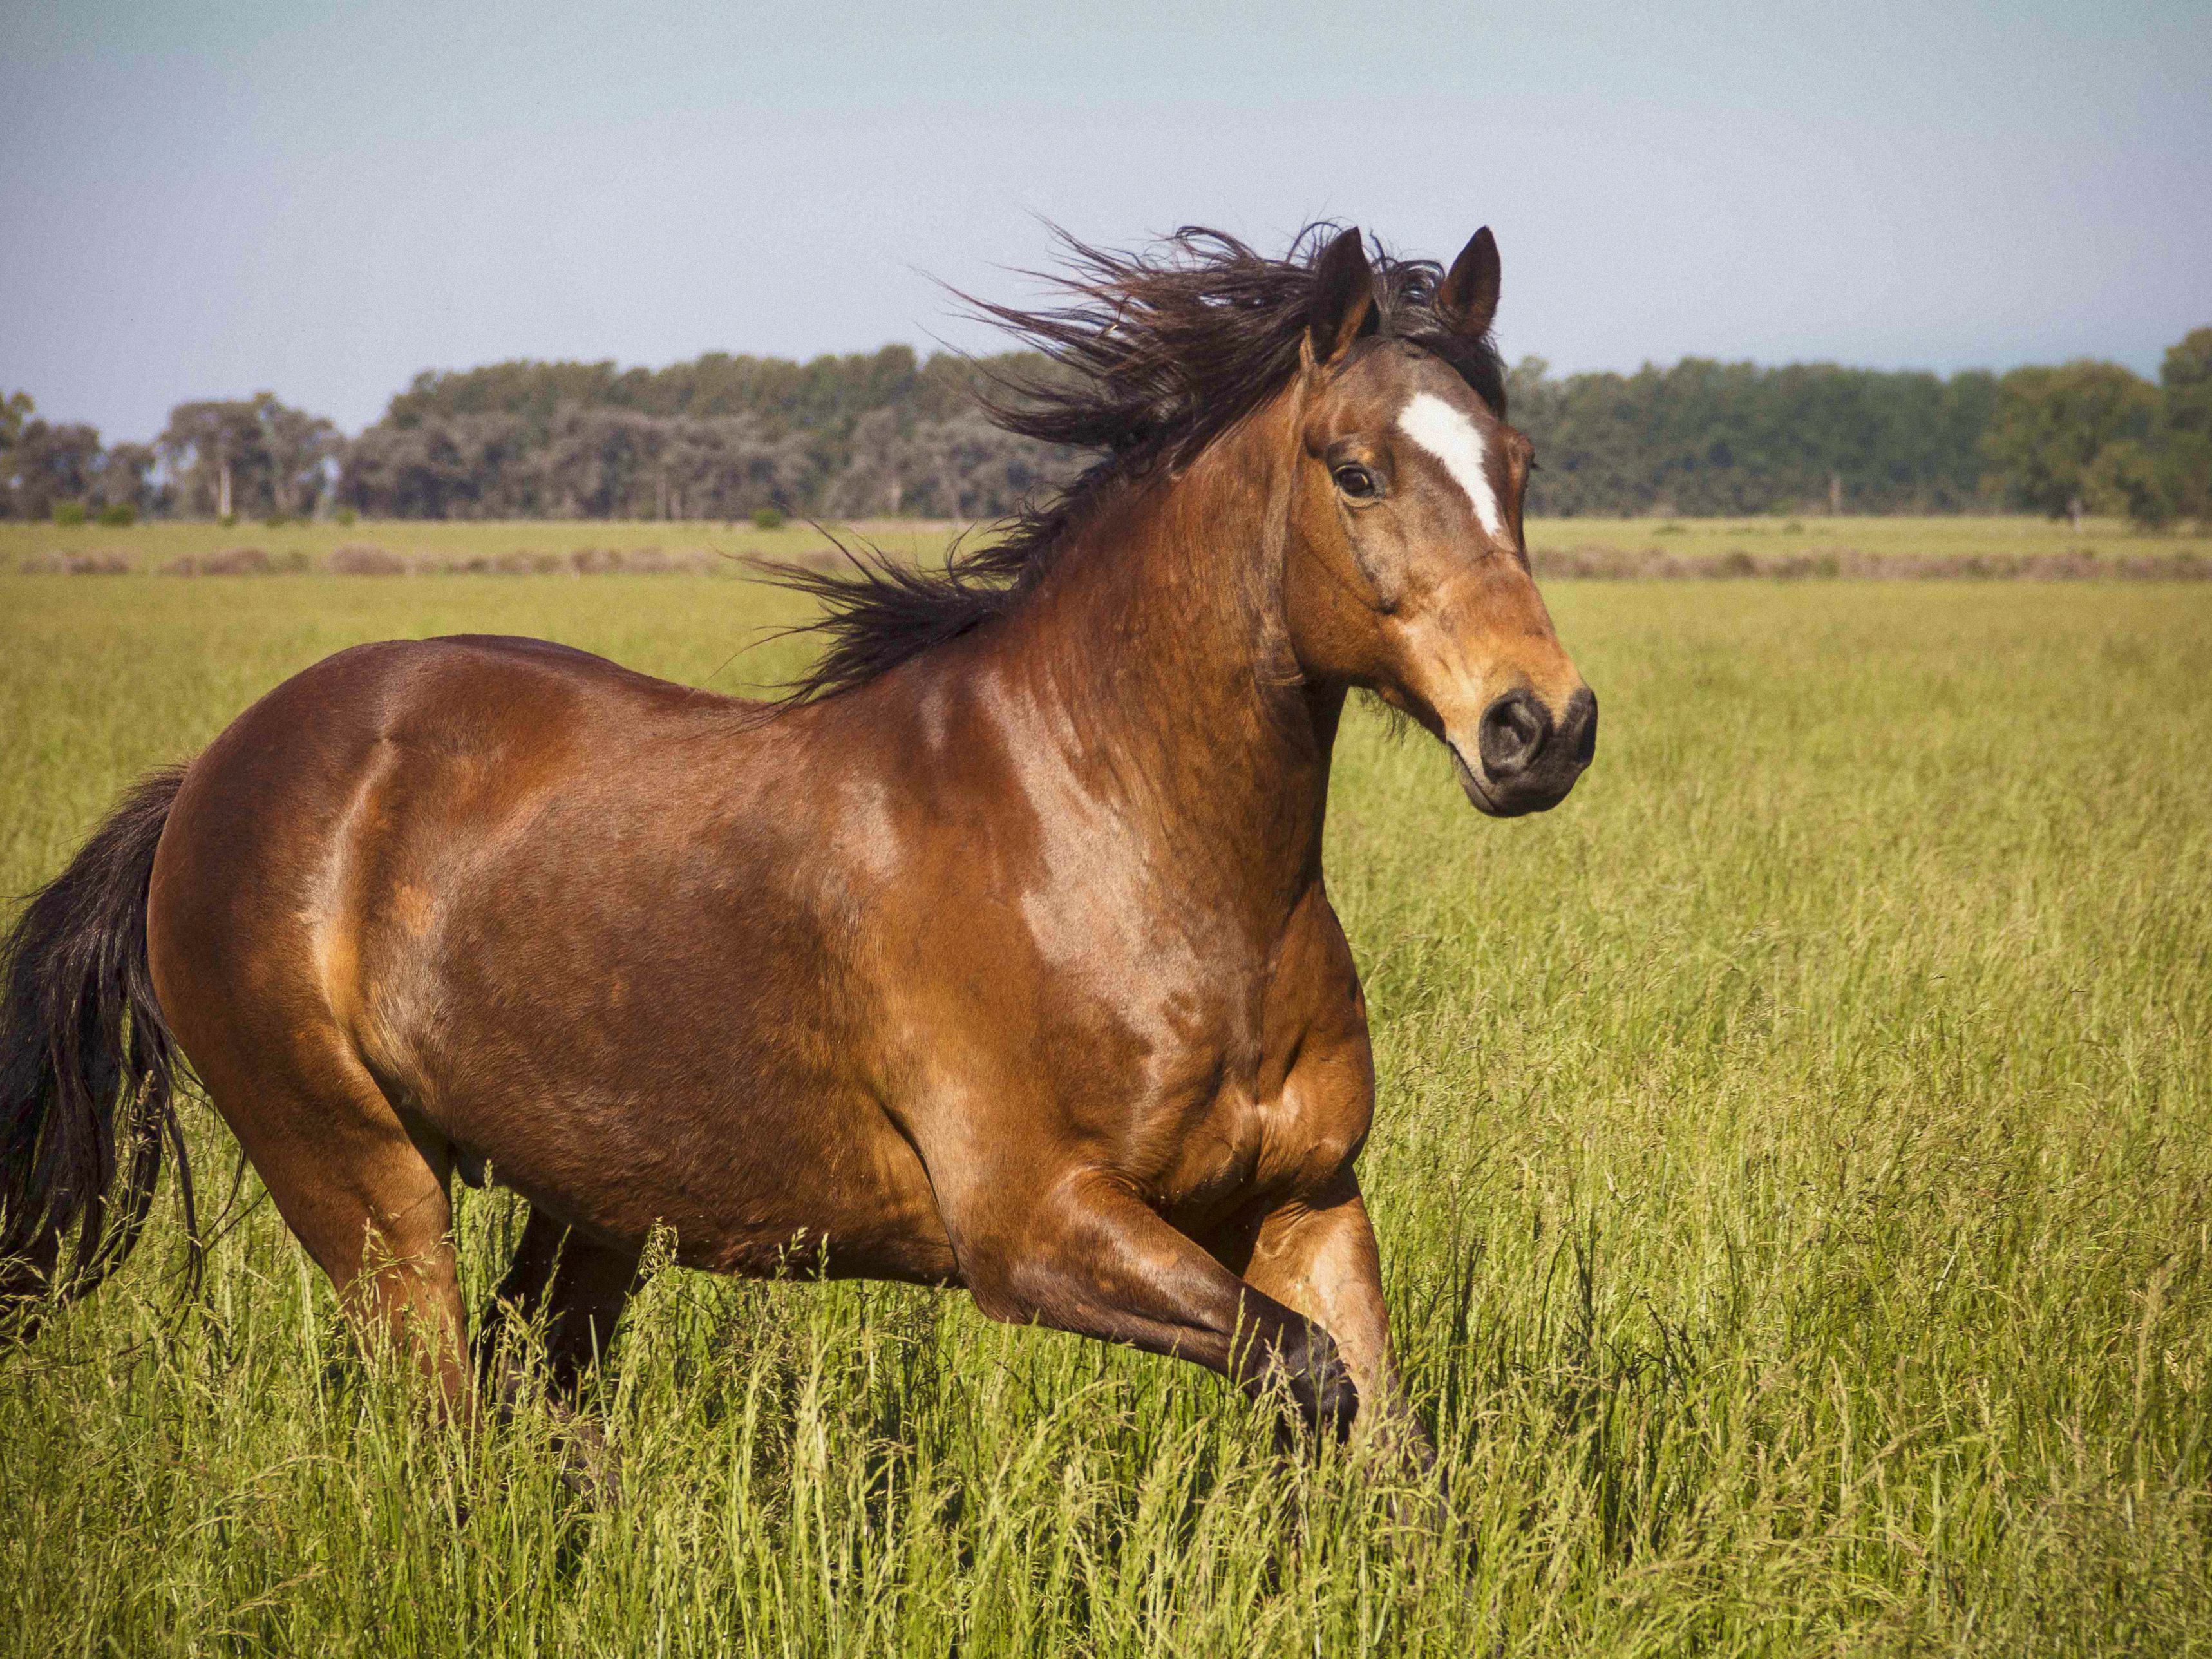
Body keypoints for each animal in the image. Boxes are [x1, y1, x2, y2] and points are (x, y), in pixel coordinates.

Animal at [0, 224, 1593, 1451]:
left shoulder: (1307, 1198)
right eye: (1354, 468)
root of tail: (209, 778)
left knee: (531, 1404)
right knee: (444, 1428)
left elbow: (1380, 1430)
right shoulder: (1035, 1228)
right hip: (362, 1181)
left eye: (1517, 460)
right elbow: (1309, 1383)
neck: (1119, 844)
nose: (1541, 728)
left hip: (590, 1209)